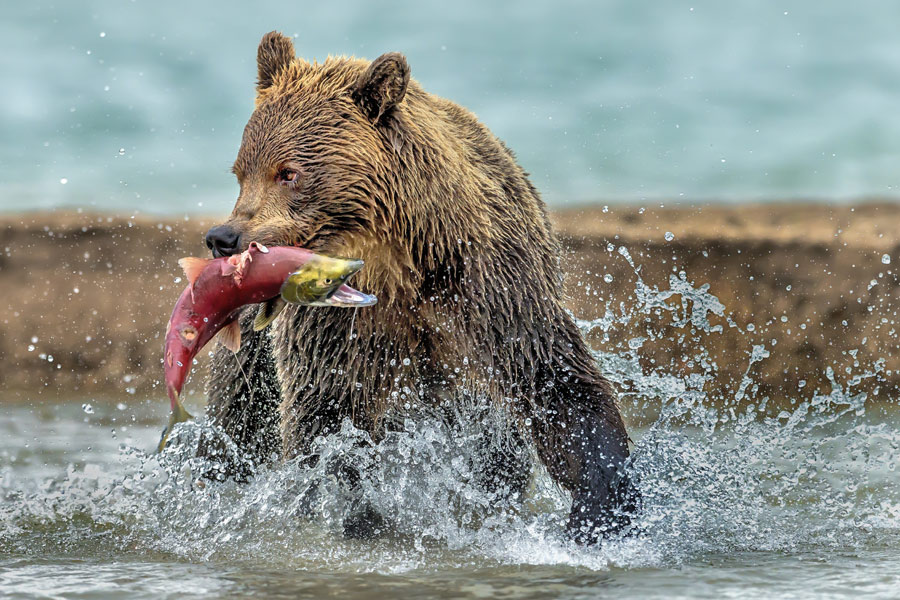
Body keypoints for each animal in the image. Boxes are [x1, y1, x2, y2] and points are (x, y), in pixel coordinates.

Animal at [204, 31, 640, 544]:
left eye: (288, 172)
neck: (398, 262)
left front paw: (601, 507)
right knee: (238, 415)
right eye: (241, 171)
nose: (224, 238)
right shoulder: (338, 324)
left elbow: (553, 380)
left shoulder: (489, 288)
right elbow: (328, 413)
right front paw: (350, 509)